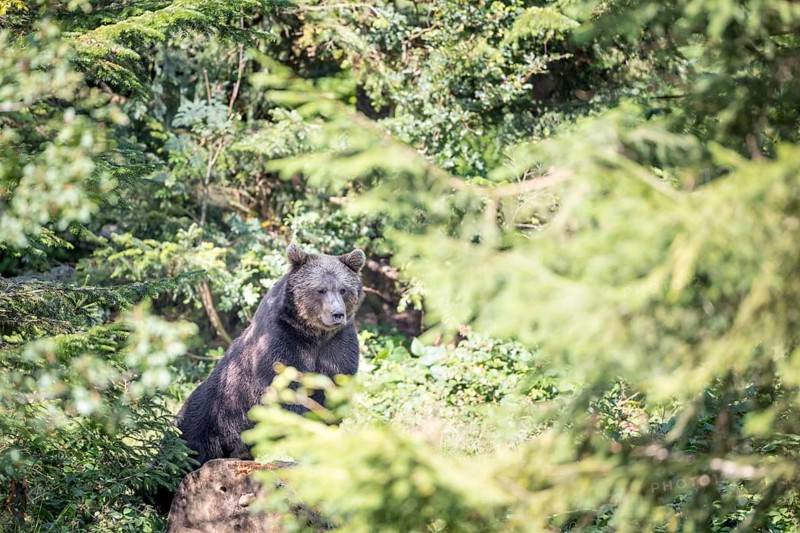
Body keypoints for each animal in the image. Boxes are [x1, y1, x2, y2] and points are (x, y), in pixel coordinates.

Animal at [174, 243, 366, 466]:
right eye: (320, 289)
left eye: (343, 289)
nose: (337, 314)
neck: (313, 334)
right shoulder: (282, 339)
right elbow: (287, 391)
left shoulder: (337, 344)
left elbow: (331, 391)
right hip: (210, 413)